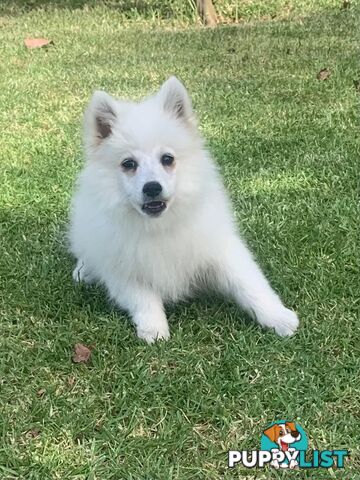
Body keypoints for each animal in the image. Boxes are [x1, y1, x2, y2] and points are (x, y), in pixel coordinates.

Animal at [69, 77, 298, 344]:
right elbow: (143, 299)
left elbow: (250, 284)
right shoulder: (124, 269)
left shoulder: (220, 249)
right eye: (129, 164)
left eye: (167, 159)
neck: (160, 225)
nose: (152, 187)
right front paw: (154, 330)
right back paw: (84, 271)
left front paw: (278, 318)